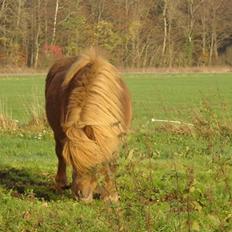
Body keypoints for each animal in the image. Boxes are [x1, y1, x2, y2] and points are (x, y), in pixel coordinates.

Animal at [44, 48, 131, 201]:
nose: (81, 196)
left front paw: (110, 195)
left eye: (95, 165)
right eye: (73, 162)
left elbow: (111, 163)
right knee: (59, 154)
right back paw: (60, 183)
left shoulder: (114, 137)